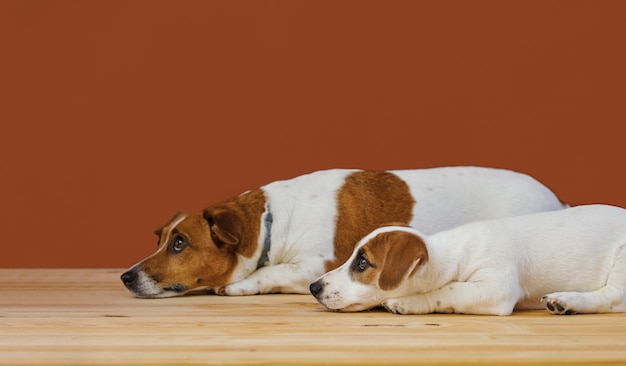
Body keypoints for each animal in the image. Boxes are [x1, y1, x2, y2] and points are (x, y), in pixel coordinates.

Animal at [119, 166, 564, 298]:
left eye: (180, 243)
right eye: (160, 239)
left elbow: (268, 273)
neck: (269, 222)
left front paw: (237, 286)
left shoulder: (315, 264)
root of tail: (558, 202)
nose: (125, 276)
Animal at [310, 204, 624, 316]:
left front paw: (408, 303)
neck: (453, 251)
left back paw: (568, 300)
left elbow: (448, 290)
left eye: (363, 263)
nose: (314, 287)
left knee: (612, 297)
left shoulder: (496, 288)